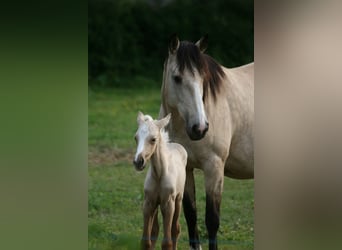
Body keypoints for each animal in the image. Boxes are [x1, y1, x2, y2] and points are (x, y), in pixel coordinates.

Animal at [133, 112, 187, 249]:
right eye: (136, 138)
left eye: (153, 139)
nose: (138, 162)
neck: (159, 174)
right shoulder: (148, 202)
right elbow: (146, 241)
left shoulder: (168, 204)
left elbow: (167, 242)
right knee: (155, 230)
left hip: (178, 199)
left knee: (175, 229)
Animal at [158, 35, 254, 250]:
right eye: (177, 78)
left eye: (203, 78)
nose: (199, 128)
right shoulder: (186, 169)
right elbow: (191, 215)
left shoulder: (214, 168)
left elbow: (212, 220)